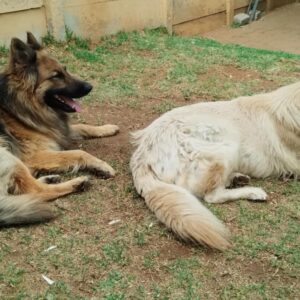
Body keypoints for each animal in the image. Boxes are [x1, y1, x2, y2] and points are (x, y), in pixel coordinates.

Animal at [0, 32, 119, 225]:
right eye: (55, 75)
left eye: (65, 69)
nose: (90, 86)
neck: (17, 107)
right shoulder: (34, 155)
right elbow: (78, 153)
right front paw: (101, 165)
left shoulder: (56, 129)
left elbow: (81, 126)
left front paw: (106, 128)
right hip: (7, 155)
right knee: (36, 191)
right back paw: (76, 183)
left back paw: (49, 178)